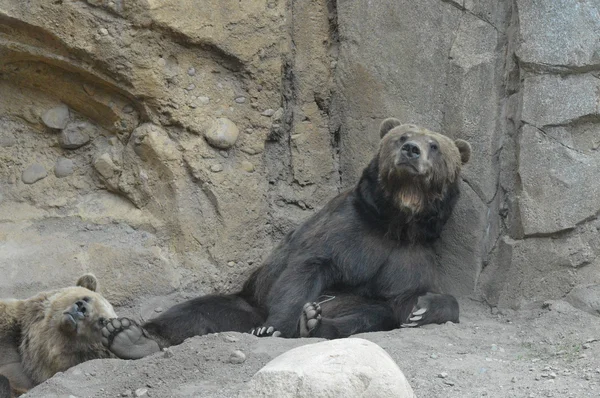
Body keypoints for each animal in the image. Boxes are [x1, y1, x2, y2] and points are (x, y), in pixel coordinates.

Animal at [101, 117, 472, 358]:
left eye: (435, 145)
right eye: (401, 135)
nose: (411, 150)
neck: (396, 218)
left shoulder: (409, 255)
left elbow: (401, 302)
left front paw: (425, 308)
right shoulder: (349, 232)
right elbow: (306, 267)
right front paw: (276, 327)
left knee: (365, 316)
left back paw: (315, 323)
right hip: (248, 303)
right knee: (197, 310)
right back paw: (129, 335)